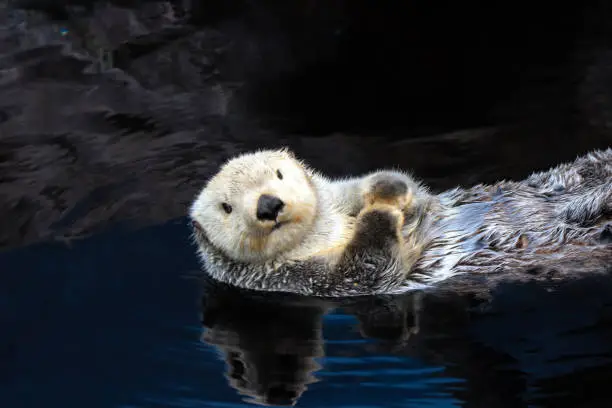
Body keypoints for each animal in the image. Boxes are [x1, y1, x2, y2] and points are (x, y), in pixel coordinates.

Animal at [189, 147, 608, 296]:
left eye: (278, 174)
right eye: (227, 207)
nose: (268, 205)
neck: (323, 233)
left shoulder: (339, 195)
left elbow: (401, 189)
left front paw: (386, 190)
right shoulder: (301, 280)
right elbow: (367, 269)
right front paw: (379, 215)